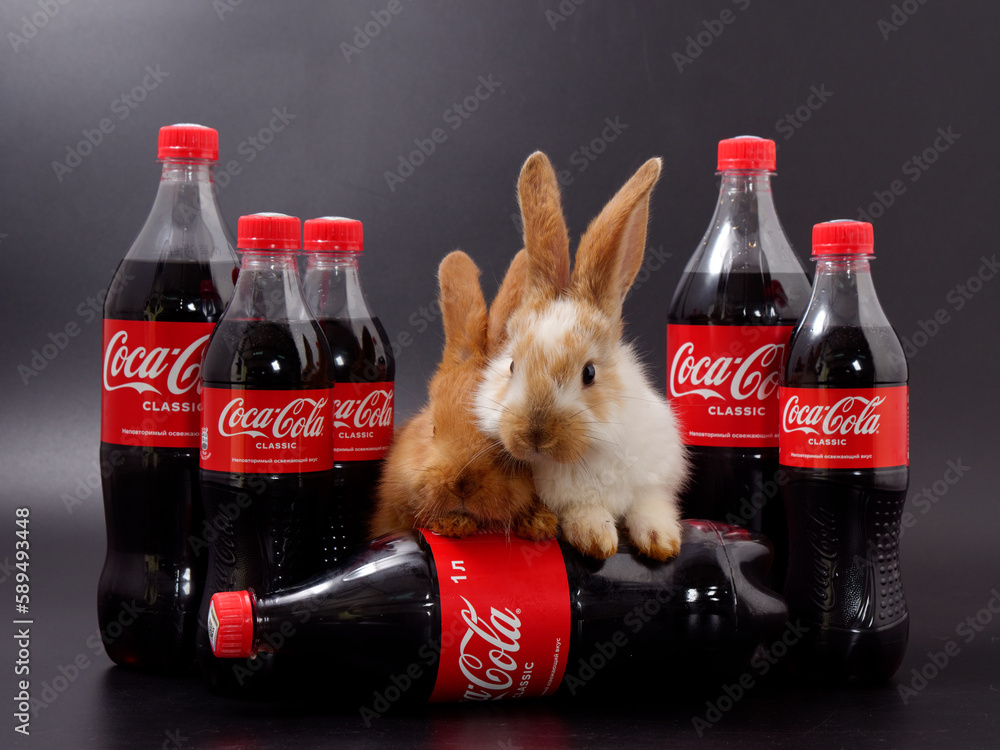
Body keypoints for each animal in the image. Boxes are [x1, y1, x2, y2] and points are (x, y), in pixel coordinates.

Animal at [474, 151, 688, 561]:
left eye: (589, 373)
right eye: (511, 365)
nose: (535, 434)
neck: (590, 450)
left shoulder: (655, 477)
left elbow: (650, 504)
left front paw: (662, 542)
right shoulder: (566, 502)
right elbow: (585, 510)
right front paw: (597, 538)